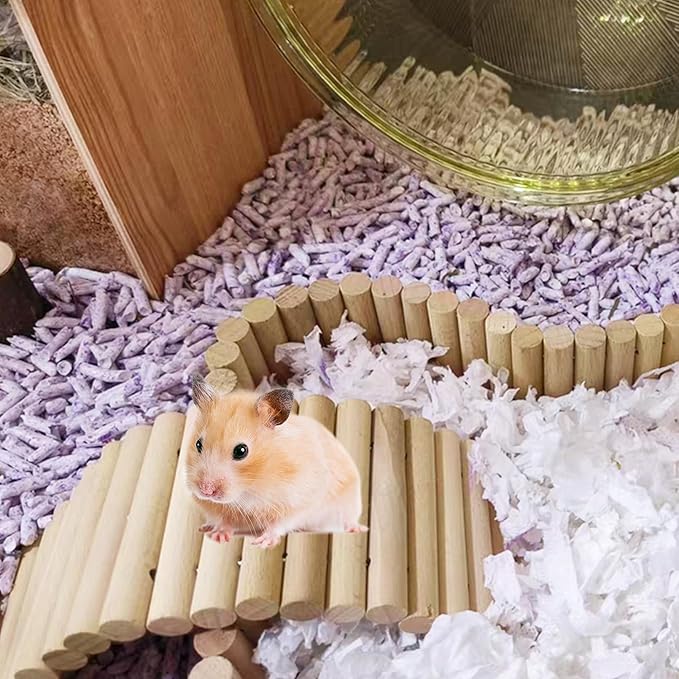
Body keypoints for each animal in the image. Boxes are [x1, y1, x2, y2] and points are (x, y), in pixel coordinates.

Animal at [185, 376, 368, 548]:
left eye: (241, 451)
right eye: (198, 444)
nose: (206, 491)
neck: (251, 488)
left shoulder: (299, 500)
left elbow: (279, 523)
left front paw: (263, 541)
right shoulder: (218, 509)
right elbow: (224, 520)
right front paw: (219, 536)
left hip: (349, 502)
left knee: (349, 519)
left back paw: (358, 529)